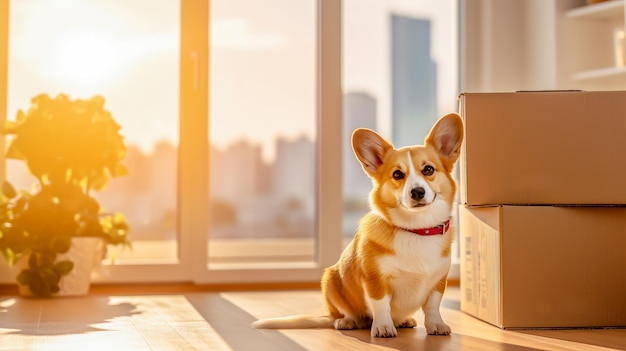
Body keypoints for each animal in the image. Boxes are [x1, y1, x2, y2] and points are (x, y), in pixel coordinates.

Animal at [251, 113, 460, 338]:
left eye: (428, 169)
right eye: (397, 174)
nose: (417, 192)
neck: (417, 229)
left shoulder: (438, 281)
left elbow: (432, 306)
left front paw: (436, 325)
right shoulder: (374, 280)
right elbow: (381, 305)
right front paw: (383, 327)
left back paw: (403, 320)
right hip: (330, 280)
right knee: (345, 314)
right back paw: (347, 321)